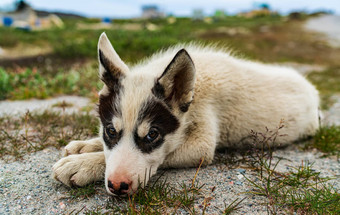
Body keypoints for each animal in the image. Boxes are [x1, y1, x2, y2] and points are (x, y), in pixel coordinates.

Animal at [51, 32, 320, 196]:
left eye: (152, 136)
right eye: (110, 130)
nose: (118, 186)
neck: (193, 95)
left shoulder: (201, 145)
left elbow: (162, 156)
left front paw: (83, 164)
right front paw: (85, 146)